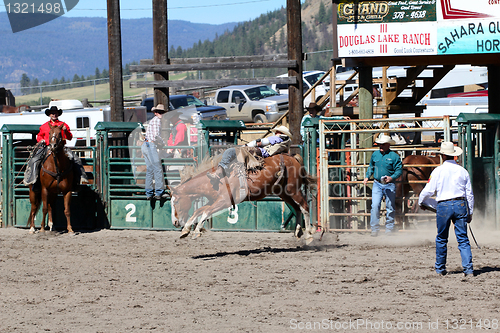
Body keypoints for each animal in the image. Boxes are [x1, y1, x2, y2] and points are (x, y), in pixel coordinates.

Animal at [172, 152, 316, 241]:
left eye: (176, 201)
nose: (175, 222)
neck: (216, 180)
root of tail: (293, 158)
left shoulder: (224, 201)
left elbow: (206, 211)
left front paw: (196, 231)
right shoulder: (215, 201)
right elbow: (198, 211)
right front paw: (185, 230)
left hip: (293, 190)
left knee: (304, 207)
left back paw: (309, 235)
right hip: (284, 193)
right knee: (297, 209)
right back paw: (298, 232)